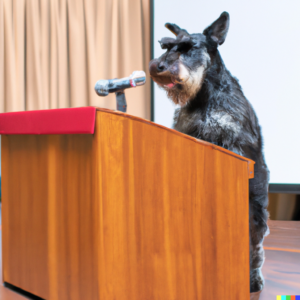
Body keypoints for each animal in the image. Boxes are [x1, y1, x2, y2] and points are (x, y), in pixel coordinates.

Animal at [150, 12, 270, 292]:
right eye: (166, 46)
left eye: (189, 47)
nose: (158, 66)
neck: (205, 95)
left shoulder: (234, 142)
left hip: (256, 214)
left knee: (255, 247)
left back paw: (253, 278)